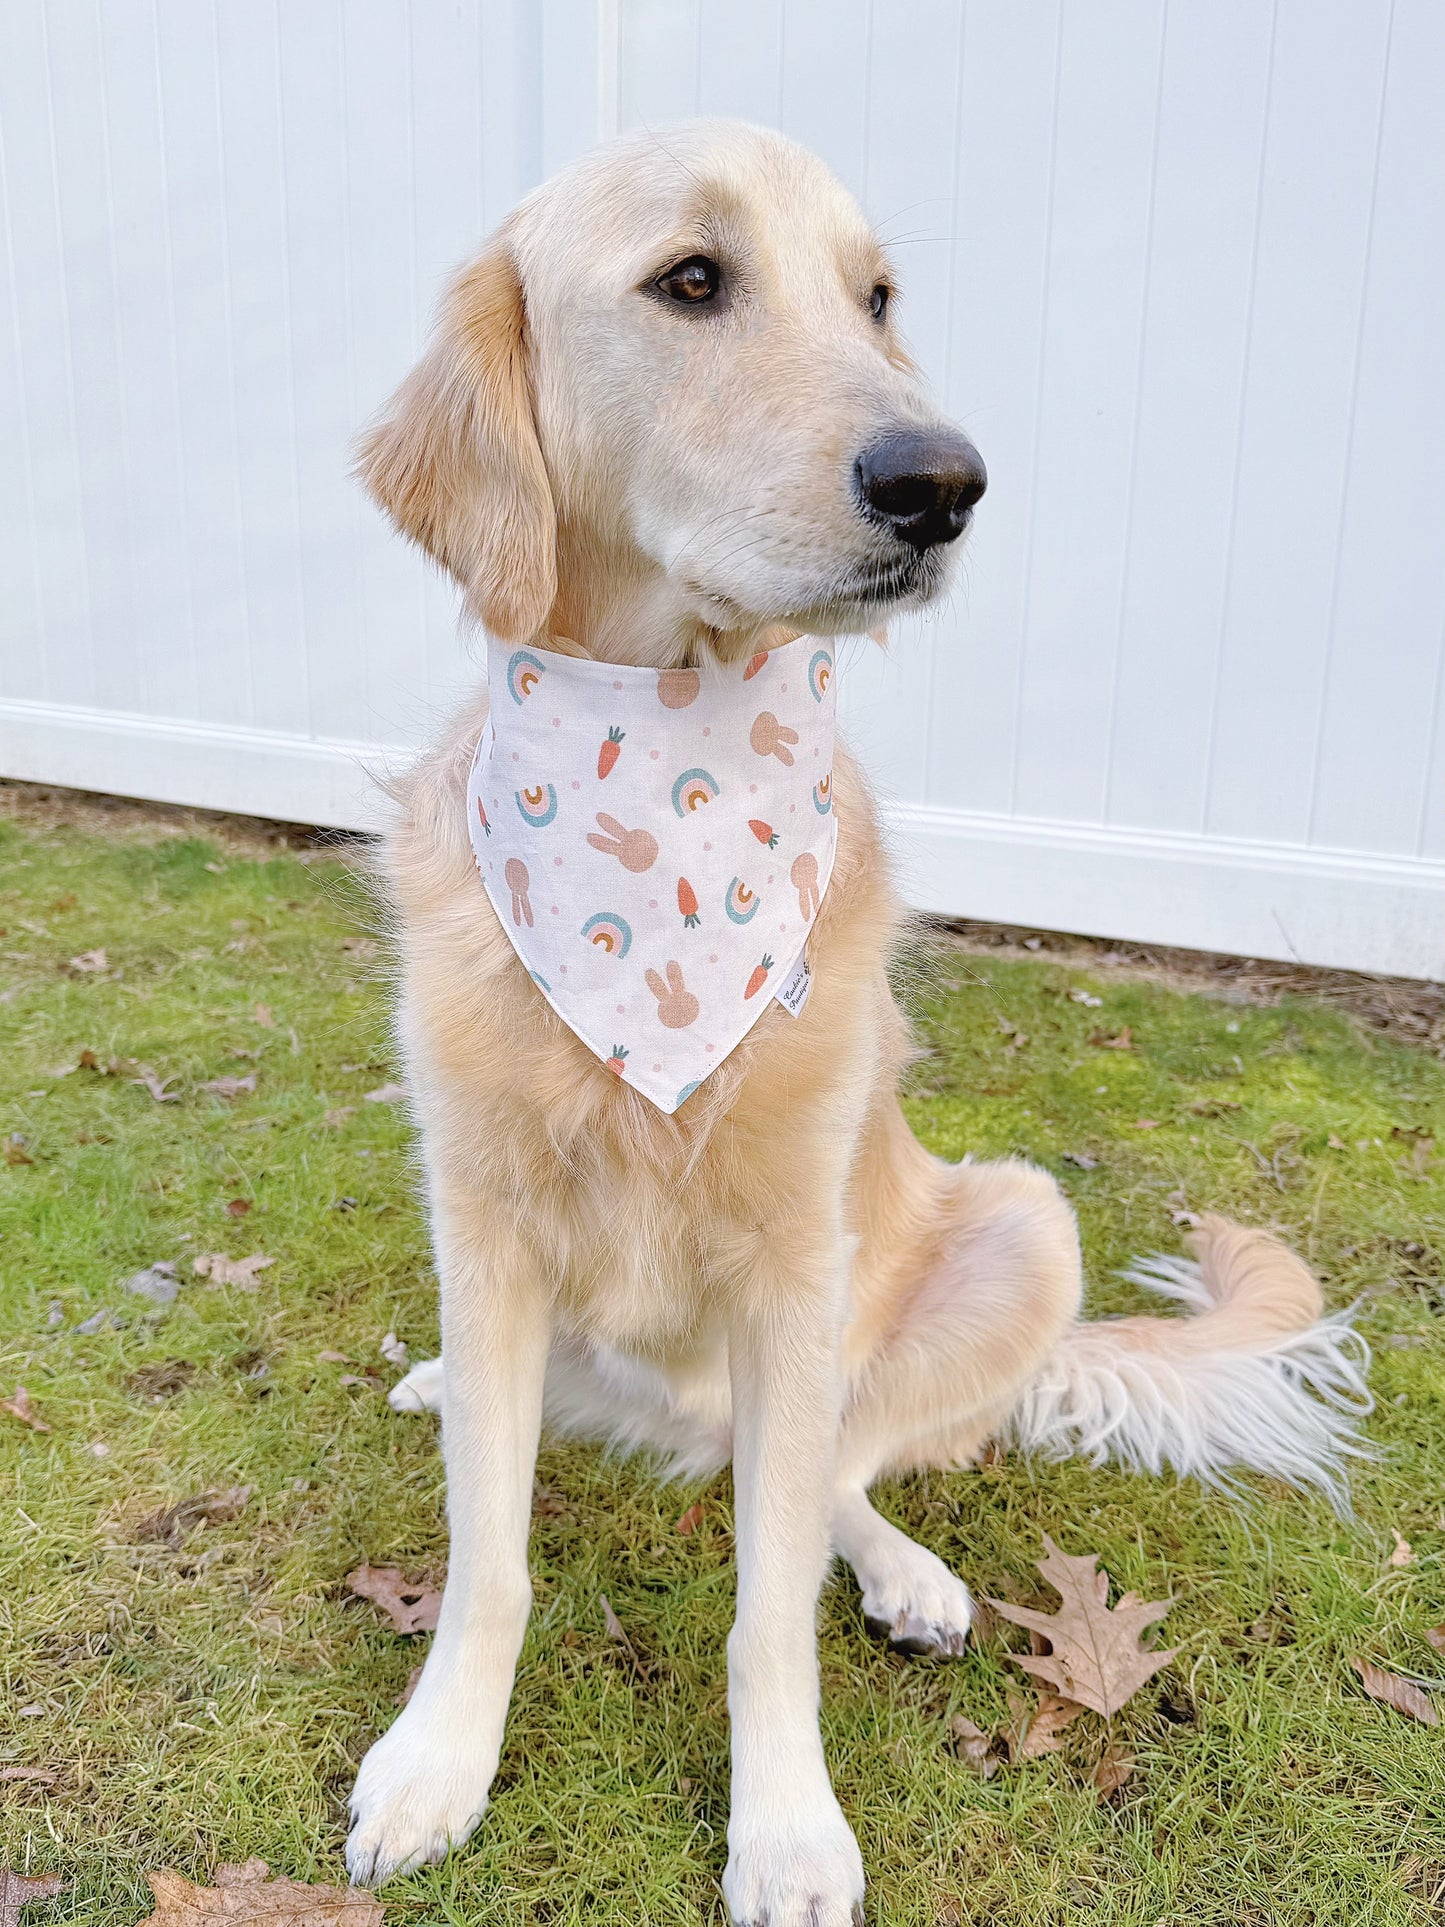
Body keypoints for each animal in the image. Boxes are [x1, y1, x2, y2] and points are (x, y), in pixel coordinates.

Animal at [344, 124, 1371, 1927]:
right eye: (692, 279)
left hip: (1013, 1226)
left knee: (833, 1475)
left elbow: (769, 1608)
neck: (661, 768)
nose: (943, 482)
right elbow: (489, 1556)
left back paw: (905, 1571)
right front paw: (439, 1759)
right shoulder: (480, 1216)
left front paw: (787, 1829)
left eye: (878, 298)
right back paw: (444, 1385)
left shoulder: (791, 1262)